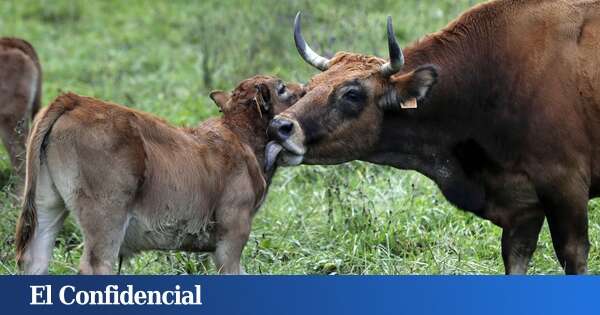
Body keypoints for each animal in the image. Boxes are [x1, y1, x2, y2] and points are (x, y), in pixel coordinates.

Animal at [15, 76, 304, 274]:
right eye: (281, 88)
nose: (303, 88)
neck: (240, 135)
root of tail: (76, 100)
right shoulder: (233, 235)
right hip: (105, 219)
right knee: (95, 265)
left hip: (47, 204)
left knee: (35, 259)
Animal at [268, 1, 600, 276]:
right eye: (311, 85)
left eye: (352, 93)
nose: (279, 126)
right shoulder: (522, 210)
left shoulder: (565, 187)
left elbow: (573, 257)